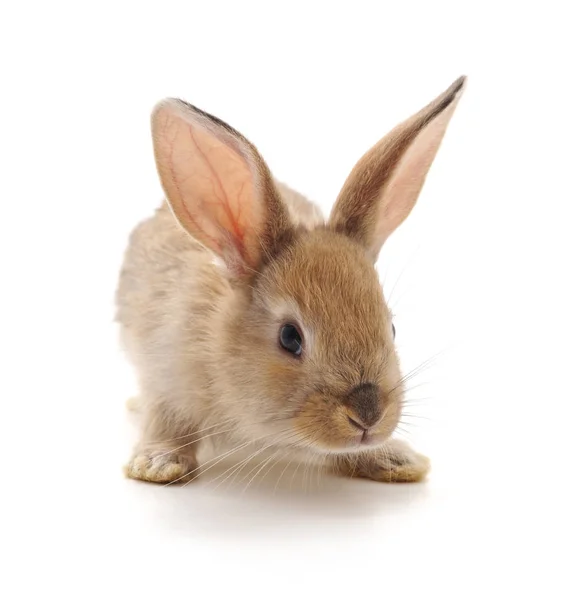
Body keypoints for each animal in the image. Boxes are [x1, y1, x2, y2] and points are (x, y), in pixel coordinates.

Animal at [116, 76, 464, 488]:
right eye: (289, 338)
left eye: (392, 328)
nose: (368, 414)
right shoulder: (166, 377)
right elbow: (166, 424)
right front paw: (158, 464)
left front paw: (396, 459)